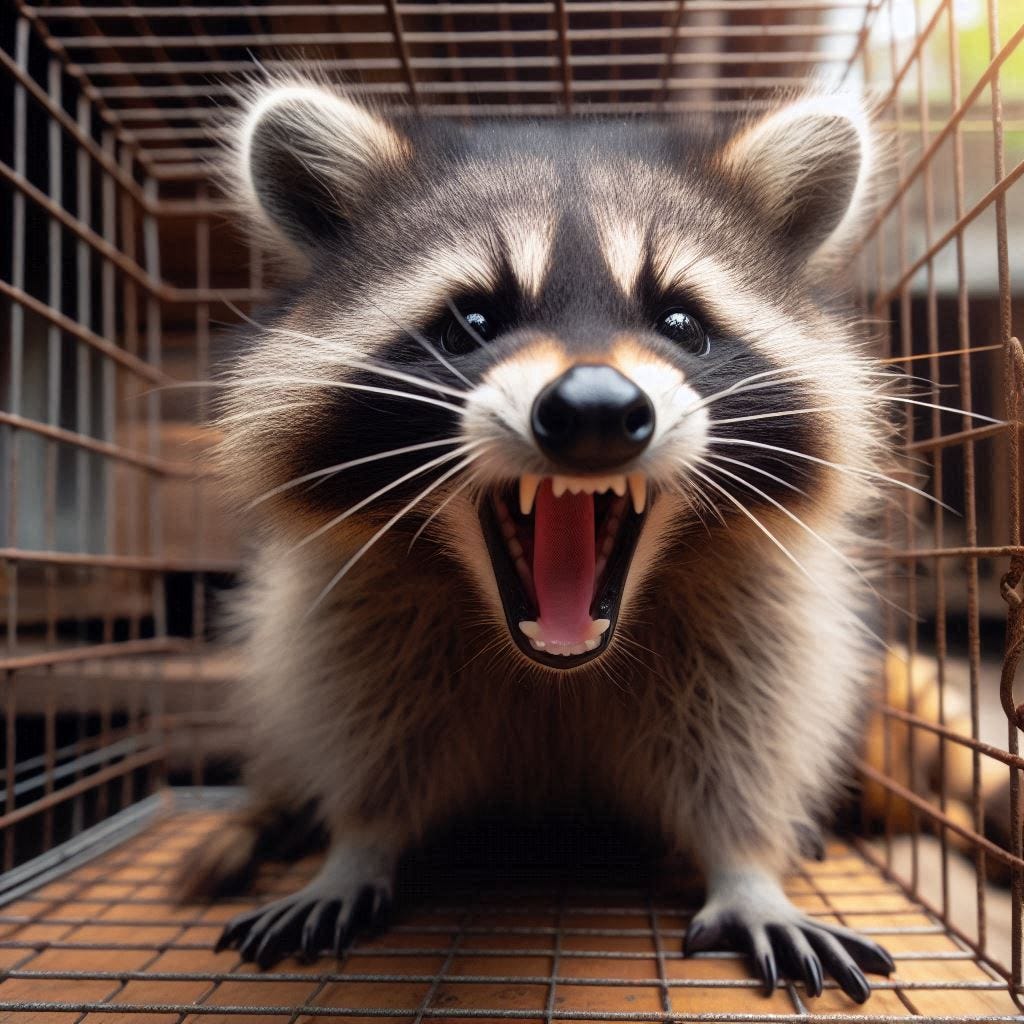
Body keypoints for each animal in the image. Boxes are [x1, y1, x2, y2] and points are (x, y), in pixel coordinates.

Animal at [190, 77, 897, 999]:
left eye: (680, 323)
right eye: (471, 323)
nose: (596, 408)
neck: (556, 667)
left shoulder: (750, 613)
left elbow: (743, 735)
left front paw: (746, 866)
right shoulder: (360, 610)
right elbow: (366, 727)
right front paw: (356, 844)